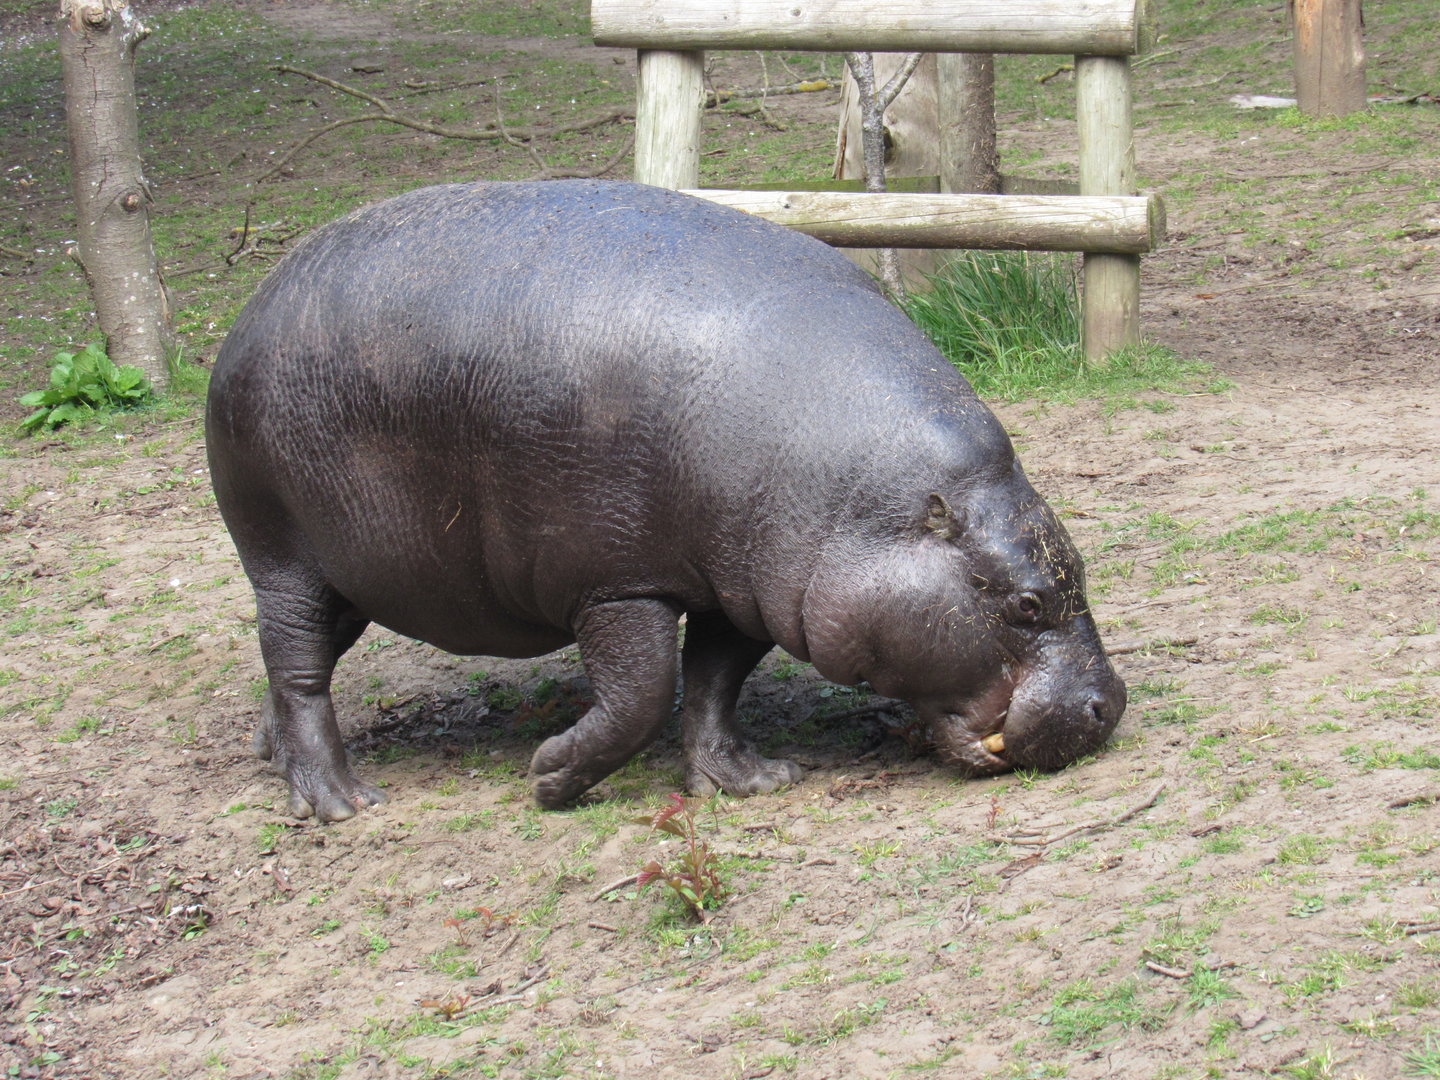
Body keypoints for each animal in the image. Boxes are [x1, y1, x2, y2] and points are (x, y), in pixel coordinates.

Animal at [206, 180, 1125, 821]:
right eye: (1027, 601)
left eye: (1077, 566)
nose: (1108, 705)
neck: (856, 504)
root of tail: (249, 310)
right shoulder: (619, 581)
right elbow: (645, 694)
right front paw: (549, 778)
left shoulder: (745, 582)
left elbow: (715, 680)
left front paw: (753, 780)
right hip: (281, 556)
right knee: (296, 664)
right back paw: (339, 802)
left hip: (356, 570)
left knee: (303, 660)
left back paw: (268, 754)